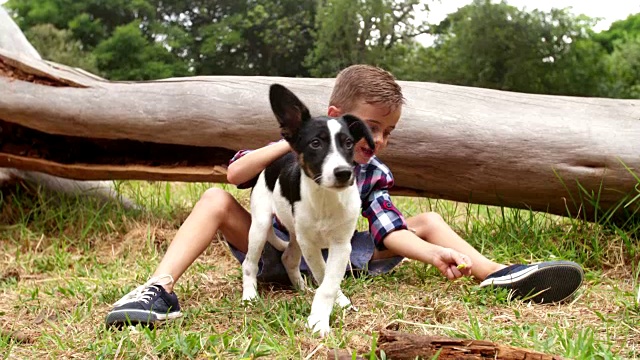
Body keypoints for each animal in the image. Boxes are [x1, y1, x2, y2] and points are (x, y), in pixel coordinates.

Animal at [242, 83, 378, 334]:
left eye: (348, 143)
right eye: (316, 143)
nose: (344, 173)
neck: (325, 198)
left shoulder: (341, 245)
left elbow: (329, 283)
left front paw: (332, 308)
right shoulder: (311, 245)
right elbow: (324, 276)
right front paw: (319, 320)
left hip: (297, 236)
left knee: (288, 258)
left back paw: (301, 287)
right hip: (261, 226)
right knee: (250, 263)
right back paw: (249, 296)